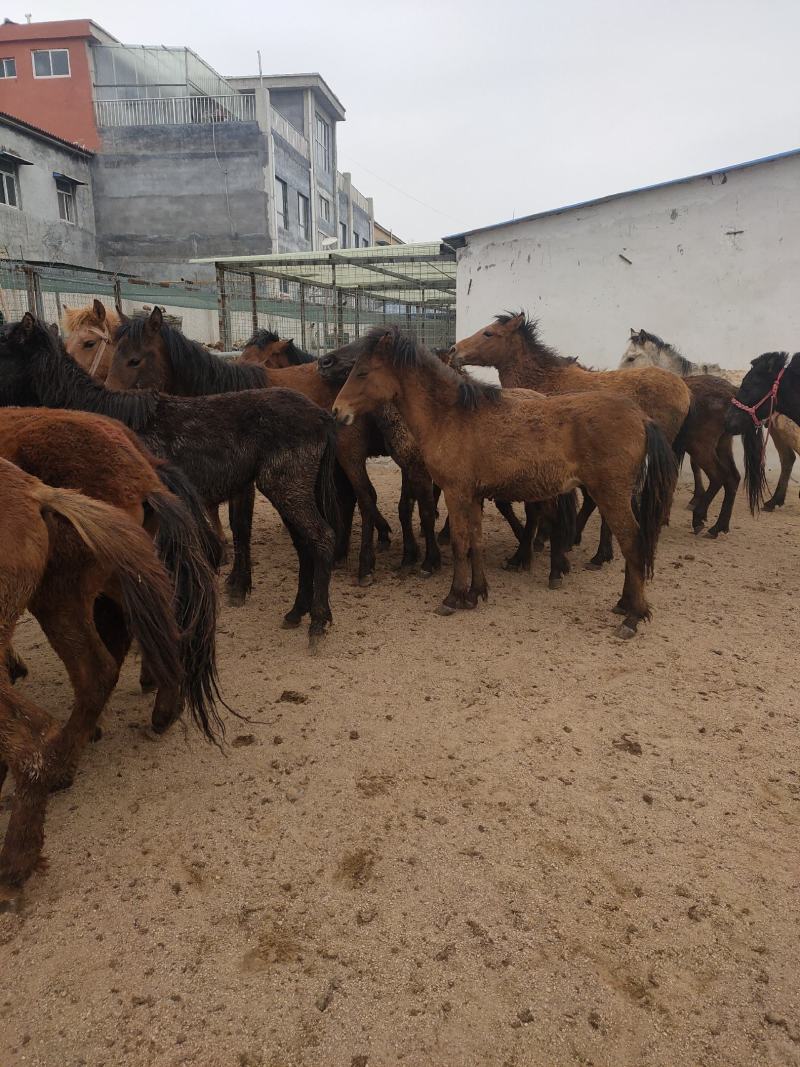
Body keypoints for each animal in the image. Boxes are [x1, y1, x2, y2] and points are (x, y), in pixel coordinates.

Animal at [0, 314, 337, 645]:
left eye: (2, 352)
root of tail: (321, 416)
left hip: (286, 487)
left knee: (322, 539)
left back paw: (318, 622)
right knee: (304, 545)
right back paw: (297, 612)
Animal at [0, 405, 224, 746]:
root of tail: (143, 475)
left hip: (60, 596)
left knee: (95, 672)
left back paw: (65, 747)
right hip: (125, 575)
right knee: (169, 625)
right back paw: (163, 707)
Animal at [106, 309, 441, 583]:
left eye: (134, 359)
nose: (107, 405)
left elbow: (238, 522)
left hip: (352, 455)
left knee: (368, 498)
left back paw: (368, 564)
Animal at [332, 328, 677, 638]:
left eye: (361, 372)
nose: (337, 412)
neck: (450, 416)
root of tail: (641, 418)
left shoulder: (456, 493)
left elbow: (459, 542)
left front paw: (453, 597)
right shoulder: (472, 495)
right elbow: (475, 541)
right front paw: (476, 593)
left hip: (611, 494)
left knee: (633, 543)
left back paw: (632, 616)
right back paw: (622, 603)